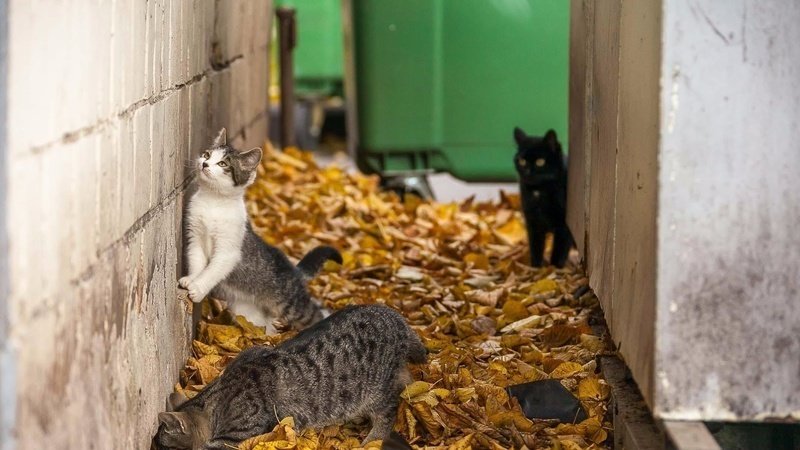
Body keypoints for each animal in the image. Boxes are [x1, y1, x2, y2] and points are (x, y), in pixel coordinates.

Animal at [154, 304, 428, 450]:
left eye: (163, 447)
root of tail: (395, 317)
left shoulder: (236, 436)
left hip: (376, 392)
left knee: (389, 410)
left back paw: (372, 440)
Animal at [179, 128, 342, 330]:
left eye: (223, 163)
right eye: (207, 154)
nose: (204, 163)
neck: (213, 201)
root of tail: (294, 270)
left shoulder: (228, 251)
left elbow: (213, 270)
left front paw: (198, 287)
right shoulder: (195, 236)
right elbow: (197, 261)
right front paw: (191, 279)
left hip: (291, 305)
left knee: (313, 313)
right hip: (249, 310)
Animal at [513, 127, 575, 268]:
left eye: (540, 162)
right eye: (522, 161)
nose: (527, 172)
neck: (539, 191)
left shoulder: (564, 226)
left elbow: (559, 249)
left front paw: (554, 268)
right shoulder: (533, 222)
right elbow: (535, 247)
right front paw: (536, 268)